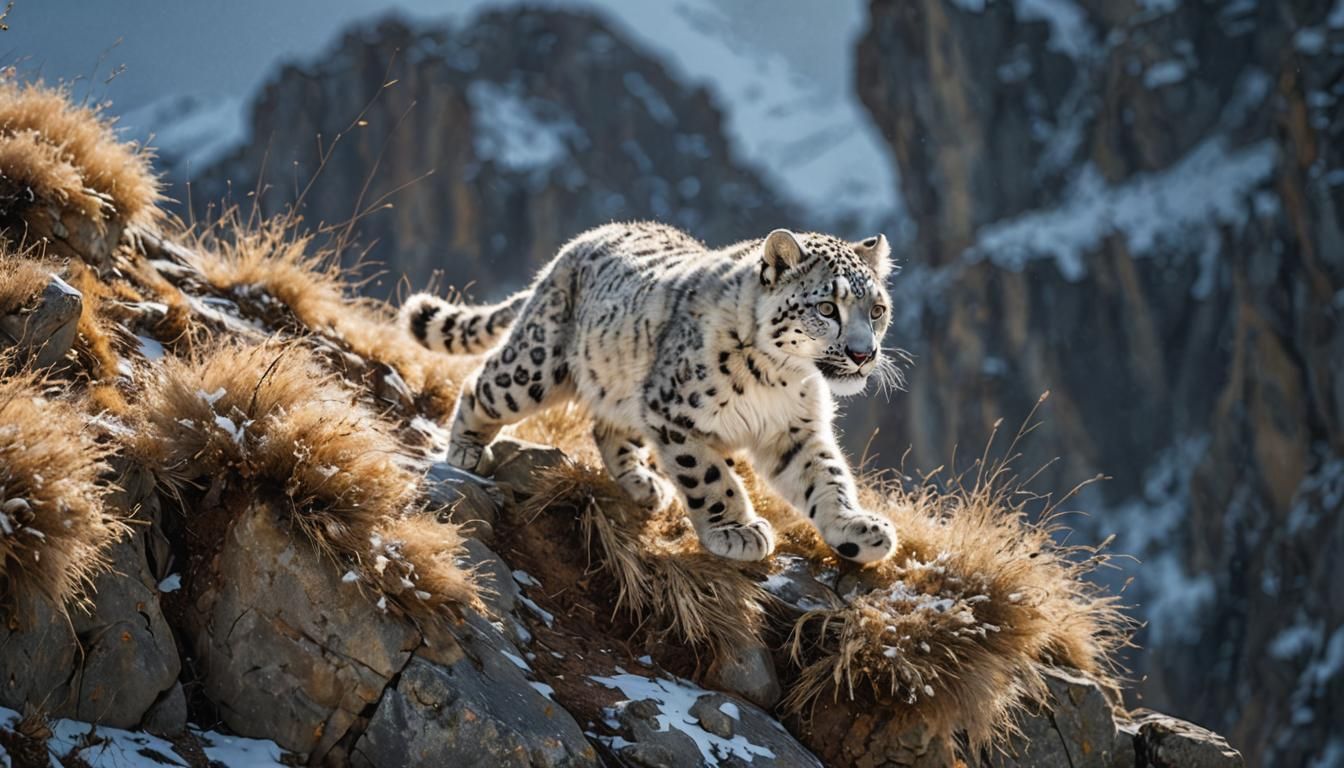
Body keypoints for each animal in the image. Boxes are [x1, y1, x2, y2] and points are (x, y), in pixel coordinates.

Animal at [400, 221, 902, 563]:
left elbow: (827, 478)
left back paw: (642, 483)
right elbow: (710, 477)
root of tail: (575, 245)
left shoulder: (795, 430)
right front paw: (736, 530)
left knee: (607, 429)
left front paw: (856, 529)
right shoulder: (674, 412)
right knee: (482, 384)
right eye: (827, 307)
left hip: (623, 389)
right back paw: (465, 449)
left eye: (877, 309)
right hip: (534, 367)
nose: (863, 354)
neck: (780, 378)